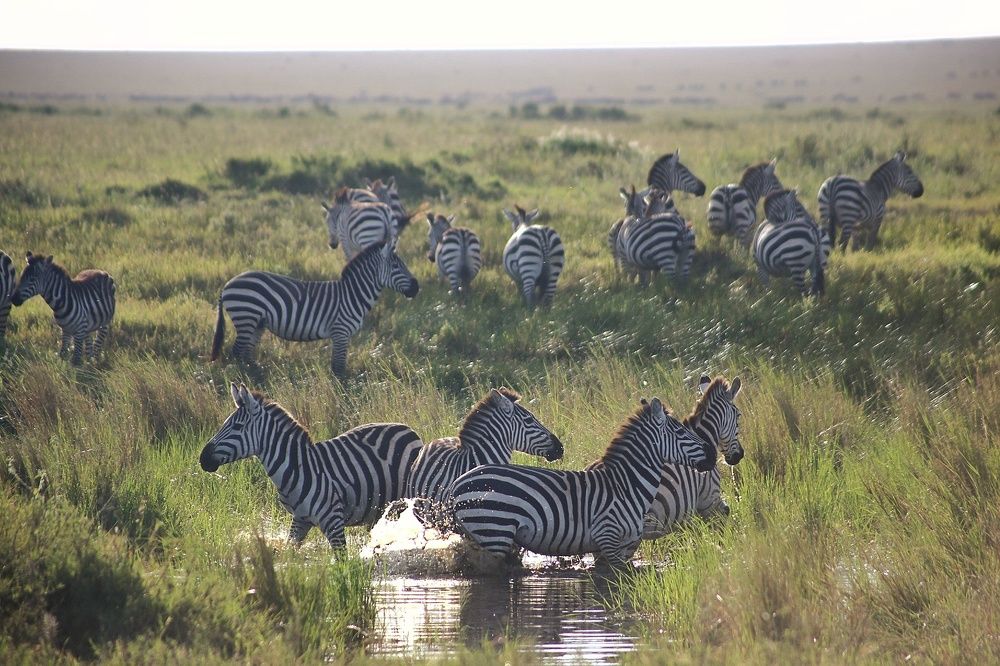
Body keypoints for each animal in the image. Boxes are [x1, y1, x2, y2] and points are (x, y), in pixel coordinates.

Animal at [200, 383, 424, 549]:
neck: (296, 468)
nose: (202, 459)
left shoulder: (333, 521)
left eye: (237, 427)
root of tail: (408, 429)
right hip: (377, 511)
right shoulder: (300, 519)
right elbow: (289, 553)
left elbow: (342, 562)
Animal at [210, 239, 419, 377]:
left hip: (256, 323)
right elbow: (339, 368)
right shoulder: (340, 332)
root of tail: (227, 284)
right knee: (237, 352)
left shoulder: (341, 335)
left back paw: (257, 376)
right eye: (396, 267)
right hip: (246, 316)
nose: (417, 288)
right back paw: (245, 379)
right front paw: (341, 396)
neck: (353, 294)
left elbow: (337, 365)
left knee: (246, 354)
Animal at [450, 396, 714, 569]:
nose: (712, 453)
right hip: (494, 531)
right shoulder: (608, 539)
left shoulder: (616, 548)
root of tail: (459, 482)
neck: (626, 486)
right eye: (680, 432)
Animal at [642, 375, 744, 540]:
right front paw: (733, 541)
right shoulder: (709, 499)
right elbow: (722, 522)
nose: (739, 455)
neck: (702, 437)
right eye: (738, 415)